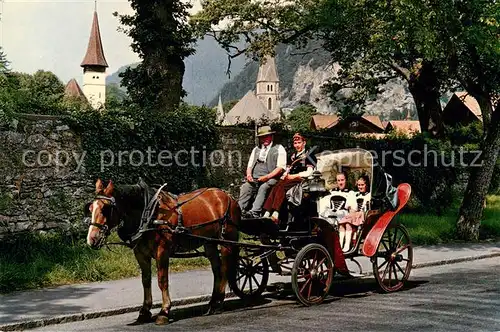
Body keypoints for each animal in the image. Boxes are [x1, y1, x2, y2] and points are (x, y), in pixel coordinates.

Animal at [84, 179, 240, 324]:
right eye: (91, 208)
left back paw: (218, 303)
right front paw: (144, 311)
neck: (149, 214)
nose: (92, 239)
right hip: (209, 242)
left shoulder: (162, 251)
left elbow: (162, 280)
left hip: (226, 240)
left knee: (225, 268)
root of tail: (227, 196)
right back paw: (213, 302)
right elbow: (146, 280)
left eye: (105, 208)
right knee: (217, 269)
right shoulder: (140, 254)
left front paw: (164, 311)